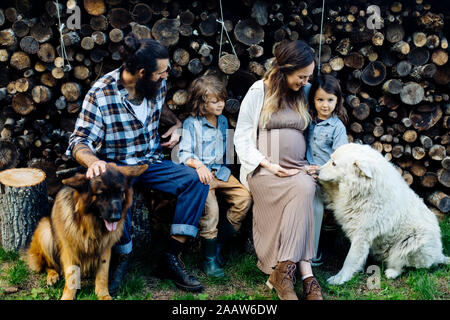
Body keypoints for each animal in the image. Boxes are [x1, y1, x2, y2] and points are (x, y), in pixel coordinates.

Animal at [25, 162, 148, 300]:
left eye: (120, 193)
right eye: (101, 194)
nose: (116, 218)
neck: (90, 224)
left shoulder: (105, 248)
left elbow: (103, 275)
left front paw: (103, 295)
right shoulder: (69, 250)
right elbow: (71, 277)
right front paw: (67, 296)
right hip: (45, 230)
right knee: (48, 264)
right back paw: (52, 275)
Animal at [318, 142, 448, 284]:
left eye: (334, 164)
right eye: (330, 159)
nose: (317, 171)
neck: (364, 188)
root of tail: (439, 255)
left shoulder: (361, 235)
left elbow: (350, 260)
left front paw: (339, 279)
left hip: (414, 241)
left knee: (405, 265)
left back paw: (391, 272)